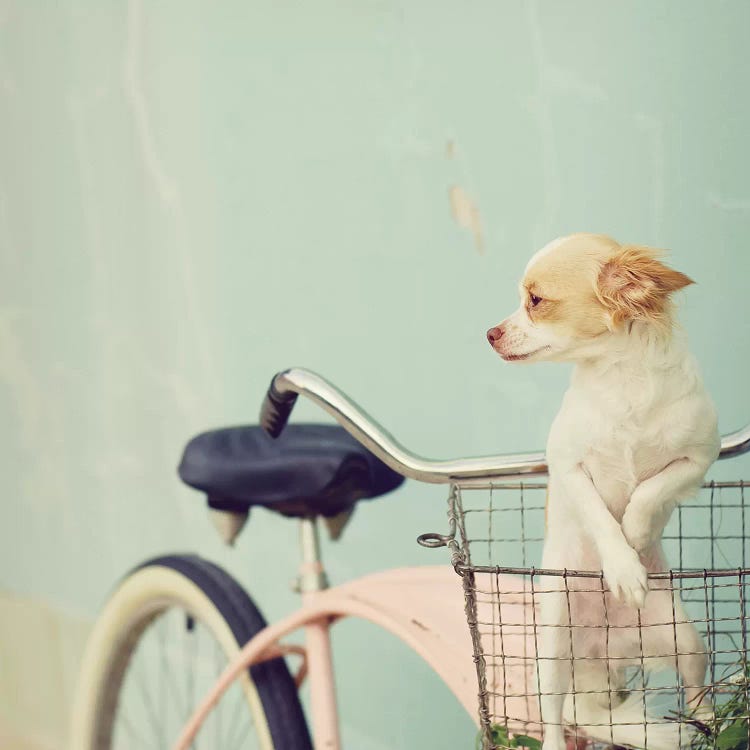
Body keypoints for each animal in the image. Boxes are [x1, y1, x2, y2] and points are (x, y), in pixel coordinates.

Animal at [488, 234, 724, 750]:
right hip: (552, 653)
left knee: (696, 689)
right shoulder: (569, 467)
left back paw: (713, 724)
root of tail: (605, 655)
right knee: (554, 717)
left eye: (535, 301)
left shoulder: (698, 460)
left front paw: (635, 535)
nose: (490, 333)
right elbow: (600, 516)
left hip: (685, 640)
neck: (621, 378)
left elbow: (650, 490)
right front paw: (622, 565)